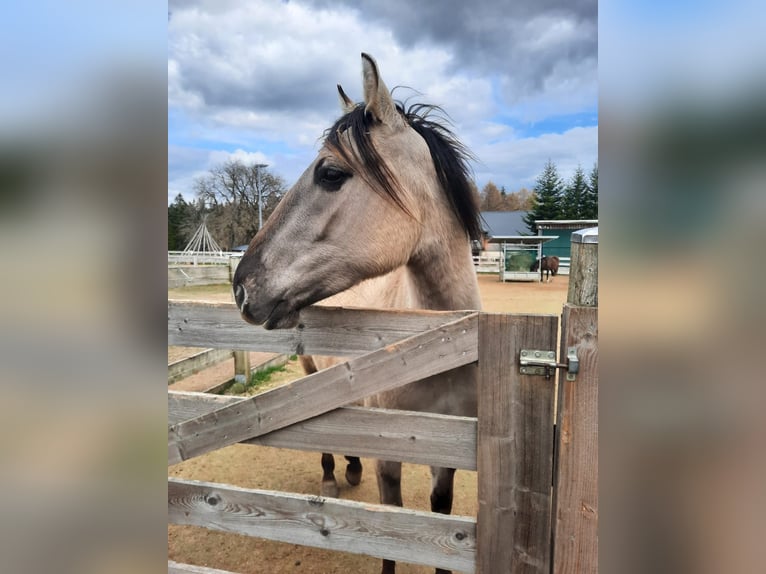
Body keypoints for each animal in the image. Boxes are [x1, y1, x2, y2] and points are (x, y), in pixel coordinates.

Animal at [231, 53, 484, 574]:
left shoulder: (447, 450)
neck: (440, 349)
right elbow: (390, 530)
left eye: (330, 173)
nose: (241, 286)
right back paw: (334, 473)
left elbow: (441, 519)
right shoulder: (391, 452)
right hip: (310, 369)